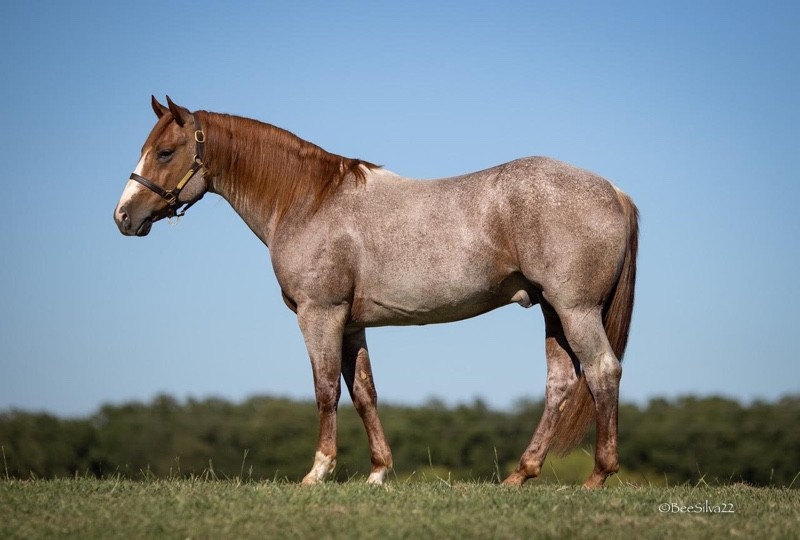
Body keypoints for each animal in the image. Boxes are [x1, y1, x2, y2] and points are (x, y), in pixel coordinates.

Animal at [114, 96, 638, 488]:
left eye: (165, 152)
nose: (123, 216)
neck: (309, 201)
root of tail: (613, 190)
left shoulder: (319, 314)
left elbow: (325, 389)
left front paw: (318, 472)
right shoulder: (352, 323)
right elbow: (364, 392)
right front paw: (378, 473)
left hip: (574, 309)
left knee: (602, 370)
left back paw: (597, 476)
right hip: (552, 311)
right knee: (562, 383)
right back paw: (520, 475)